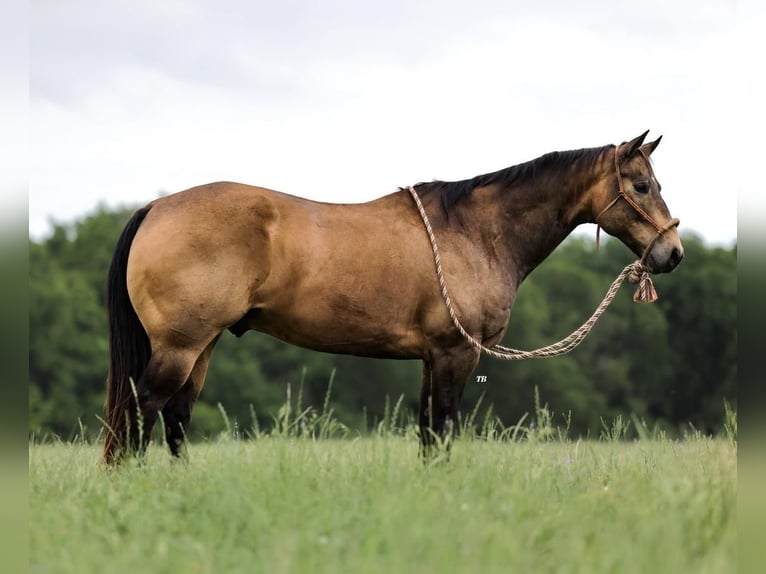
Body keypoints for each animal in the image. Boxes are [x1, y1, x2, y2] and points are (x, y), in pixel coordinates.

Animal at [102, 130, 684, 464]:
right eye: (640, 185)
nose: (672, 252)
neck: (475, 230)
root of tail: (155, 207)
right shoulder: (456, 354)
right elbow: (444, 431)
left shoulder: (431, 358)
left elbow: (427, 434)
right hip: (181, 347)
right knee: (140, 414)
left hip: (202, 346)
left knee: (174, 419)